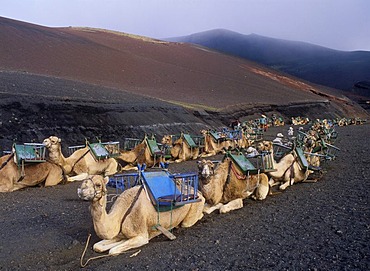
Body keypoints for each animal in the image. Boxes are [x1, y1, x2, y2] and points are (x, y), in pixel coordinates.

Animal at [77, 175, 205, 256]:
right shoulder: (118, 233)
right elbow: (97, 246)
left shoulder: (141, 235)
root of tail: (198, 193)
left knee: (195, 217)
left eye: (98, 184)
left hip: (194, 211)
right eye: (83, 182)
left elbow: (113, 250)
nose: (81, 191)